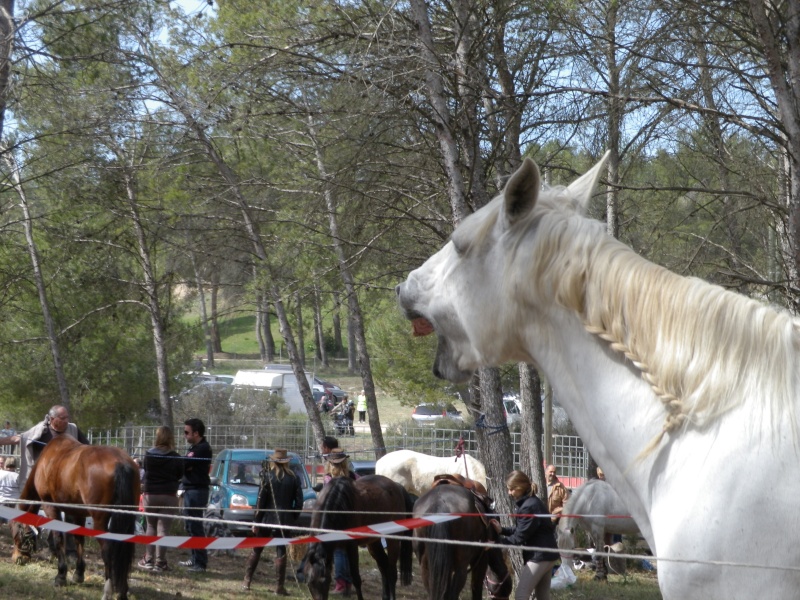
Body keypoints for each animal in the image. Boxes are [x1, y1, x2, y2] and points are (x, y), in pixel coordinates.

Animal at [12, 436, 140, 600]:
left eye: (16, 532)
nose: (16, 558)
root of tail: (121, 463)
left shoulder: (50, 506)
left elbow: (59, 538)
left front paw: (61, 576)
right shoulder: (78, 512)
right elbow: (79, 539)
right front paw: (78, 574)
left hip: (100, 521)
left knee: (108, 549)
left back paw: (108, 590)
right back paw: (122, 590)